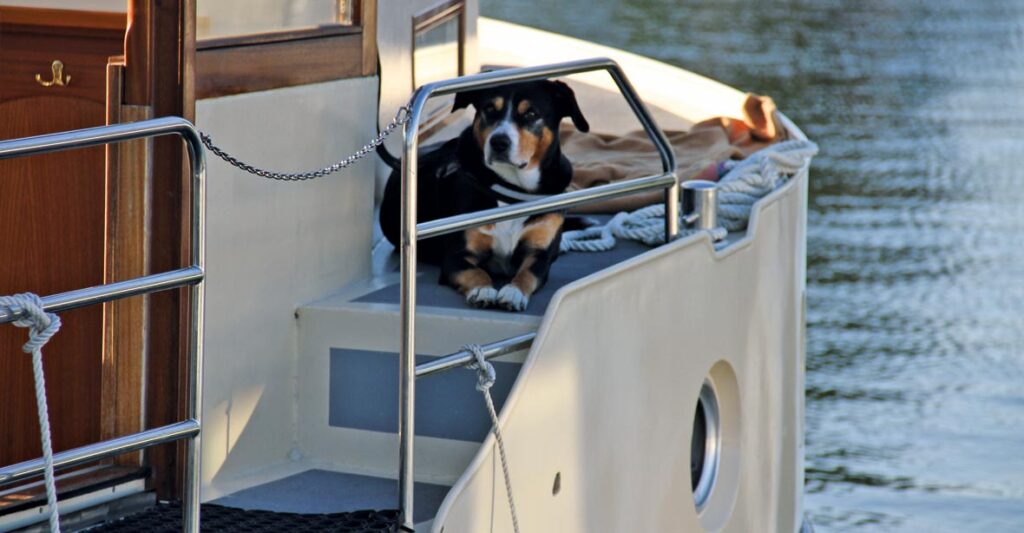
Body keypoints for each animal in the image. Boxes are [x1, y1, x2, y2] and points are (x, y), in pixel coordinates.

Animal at [378, 79, 589, 311]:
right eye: (489, 109)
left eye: (531, 113)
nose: (499, 142)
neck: (511, 188)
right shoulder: (457, 256)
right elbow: (476, 271)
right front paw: (483, 290)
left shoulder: (539, 253)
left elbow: (528, 274)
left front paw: (514, 293)